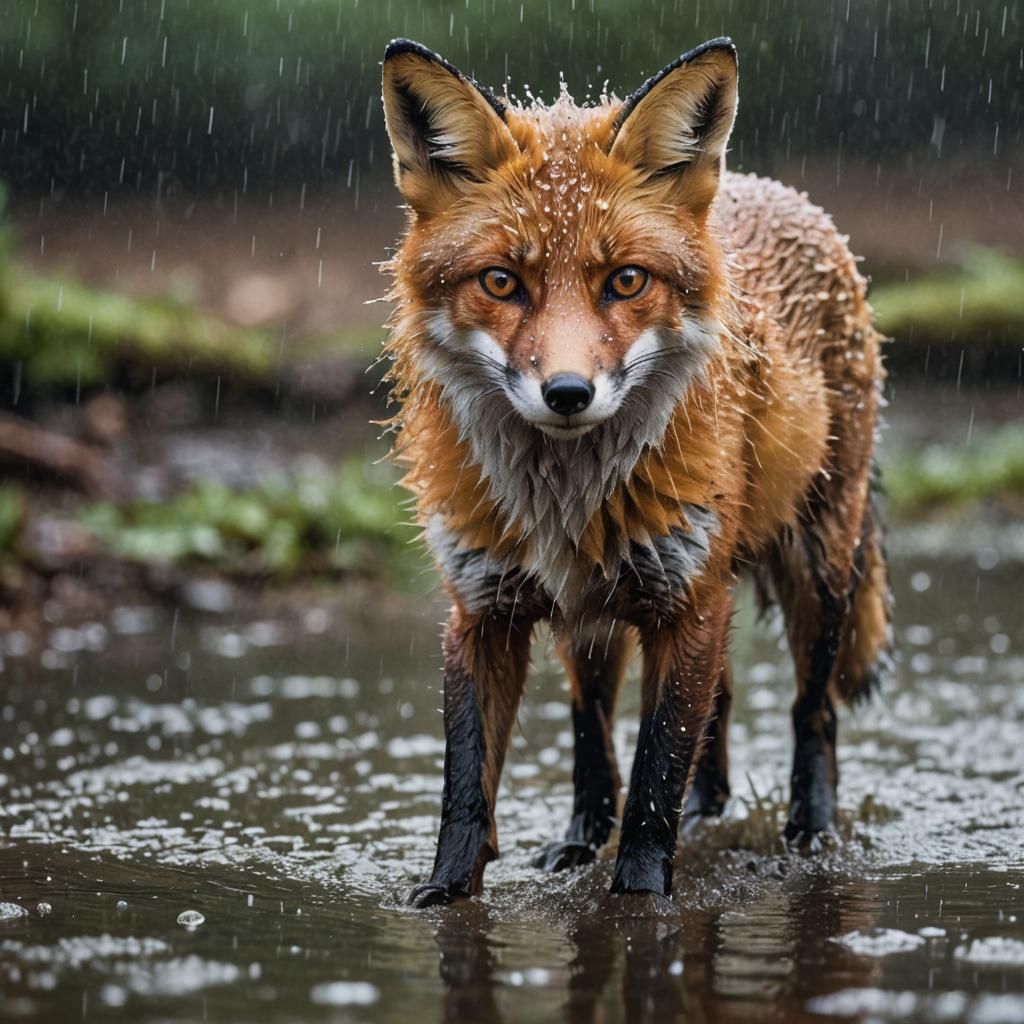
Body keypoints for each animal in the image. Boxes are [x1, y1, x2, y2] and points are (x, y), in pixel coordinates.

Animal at [379, 36, 892, 907]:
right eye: (501, 281)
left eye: (625, 280)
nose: (567, 393)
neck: (565, 496)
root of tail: (780, 192)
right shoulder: (482, 607)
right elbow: (468, 780)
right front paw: (445, 892)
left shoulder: (686, 600)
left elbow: (657, 769)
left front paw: (642, 897)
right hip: (603, 613)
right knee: (619, 723)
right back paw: (610, 831)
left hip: (815, 570)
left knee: (809, 710)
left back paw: (810, 829)